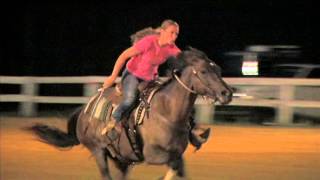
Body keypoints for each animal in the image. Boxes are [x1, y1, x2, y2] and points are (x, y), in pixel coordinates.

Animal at [26, 47, 232, 179]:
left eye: (218, 69)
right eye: (203, 71)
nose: (227, 93)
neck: (167, 114)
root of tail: (84, 111)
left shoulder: (178, 155)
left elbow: (179, 169)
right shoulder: (153, 155)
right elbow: (172, 167)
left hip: (120, 159)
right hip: (99, 151)